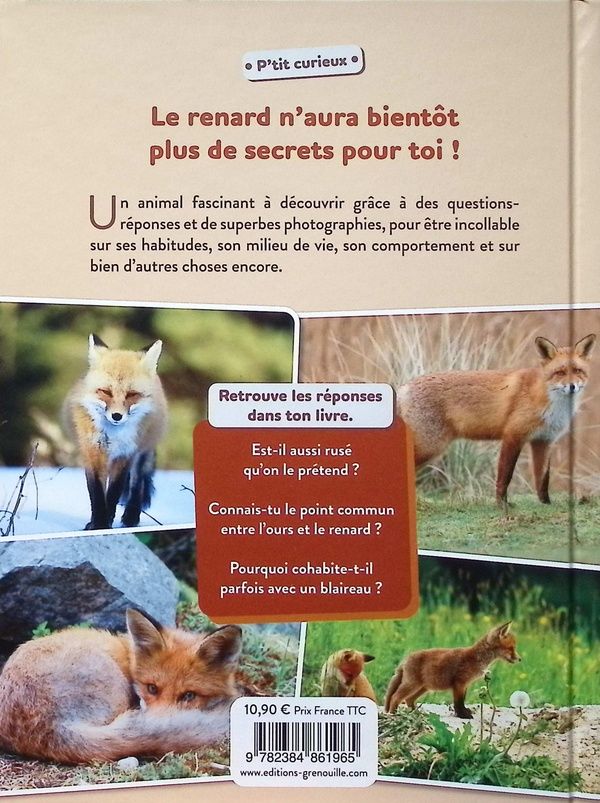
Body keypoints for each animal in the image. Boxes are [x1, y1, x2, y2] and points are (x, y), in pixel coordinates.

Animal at [64, 334, 168, 530]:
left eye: (132, 394)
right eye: (105, 392)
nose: (117, 416)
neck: (113, 434)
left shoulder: (125, 455)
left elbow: (113, 493)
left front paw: (105, 523)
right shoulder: (93, 452)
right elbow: (97, 494)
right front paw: (97, 523)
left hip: (141, 454)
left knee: (137, 483)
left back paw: (131, 517)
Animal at [384, 622, 520, 719]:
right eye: (511, 648)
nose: (520, 659)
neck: (476, 658)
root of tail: (405, 659)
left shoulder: (464, 685)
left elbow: (461, 702)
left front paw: (463, 713)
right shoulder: (459, 683)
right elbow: (458, 703)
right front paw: (463, 715)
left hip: (423, 688)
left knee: (408, 699)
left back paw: (415, 713)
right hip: (412, 685)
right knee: (395, 697)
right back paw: (394, 714)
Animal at [397, 334, 596, 506]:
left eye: (578, 371)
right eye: (560, 372)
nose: (572, 386)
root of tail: (404, 387)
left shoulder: (543, 441)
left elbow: (543, 478)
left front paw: (546, 503)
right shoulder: (513, 436)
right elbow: (505, 476)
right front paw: (502, 505)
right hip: (429, 446)